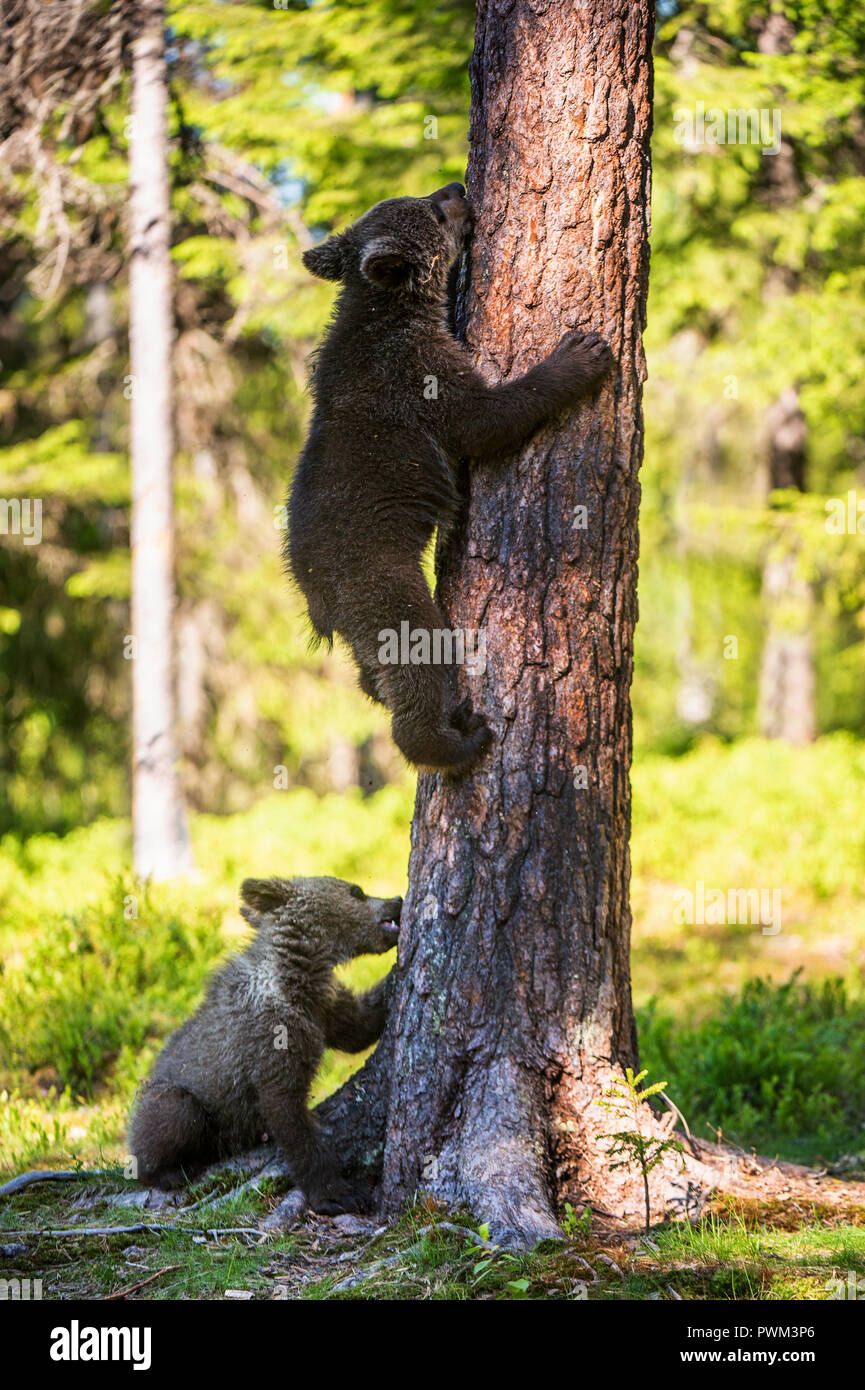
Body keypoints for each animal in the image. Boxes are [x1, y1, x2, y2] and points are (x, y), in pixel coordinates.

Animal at [128, 876, 401, 1213]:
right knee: (174, 1112)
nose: (397, 900)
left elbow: (359, 1028)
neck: (295, 977)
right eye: (356, 891)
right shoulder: (270, 1040)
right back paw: (172, 1171)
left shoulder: (323, 1009)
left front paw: (394, 978)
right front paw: (335, 1193)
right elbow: (288, 1114)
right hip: (174, 1102)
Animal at [286, 181, 612, 772]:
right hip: (381, 582)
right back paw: (456, 738)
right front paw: (580, 353)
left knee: (374, 674)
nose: (457, 186)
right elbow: (486, 419)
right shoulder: (418, 375)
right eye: (434, 211)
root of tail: (315, 596)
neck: (393, 311)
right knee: (415, 656)